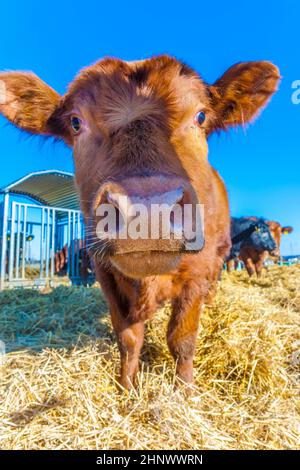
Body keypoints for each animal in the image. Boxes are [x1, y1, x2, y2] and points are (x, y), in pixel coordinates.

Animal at [0, 55, 278, 388]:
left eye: (200, 116)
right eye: (76, 122)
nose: (147, 211)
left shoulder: (197, 272)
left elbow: (182, 339)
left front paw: (184, 389)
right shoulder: (106, 274)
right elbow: (128, 338)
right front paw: (128, 387)